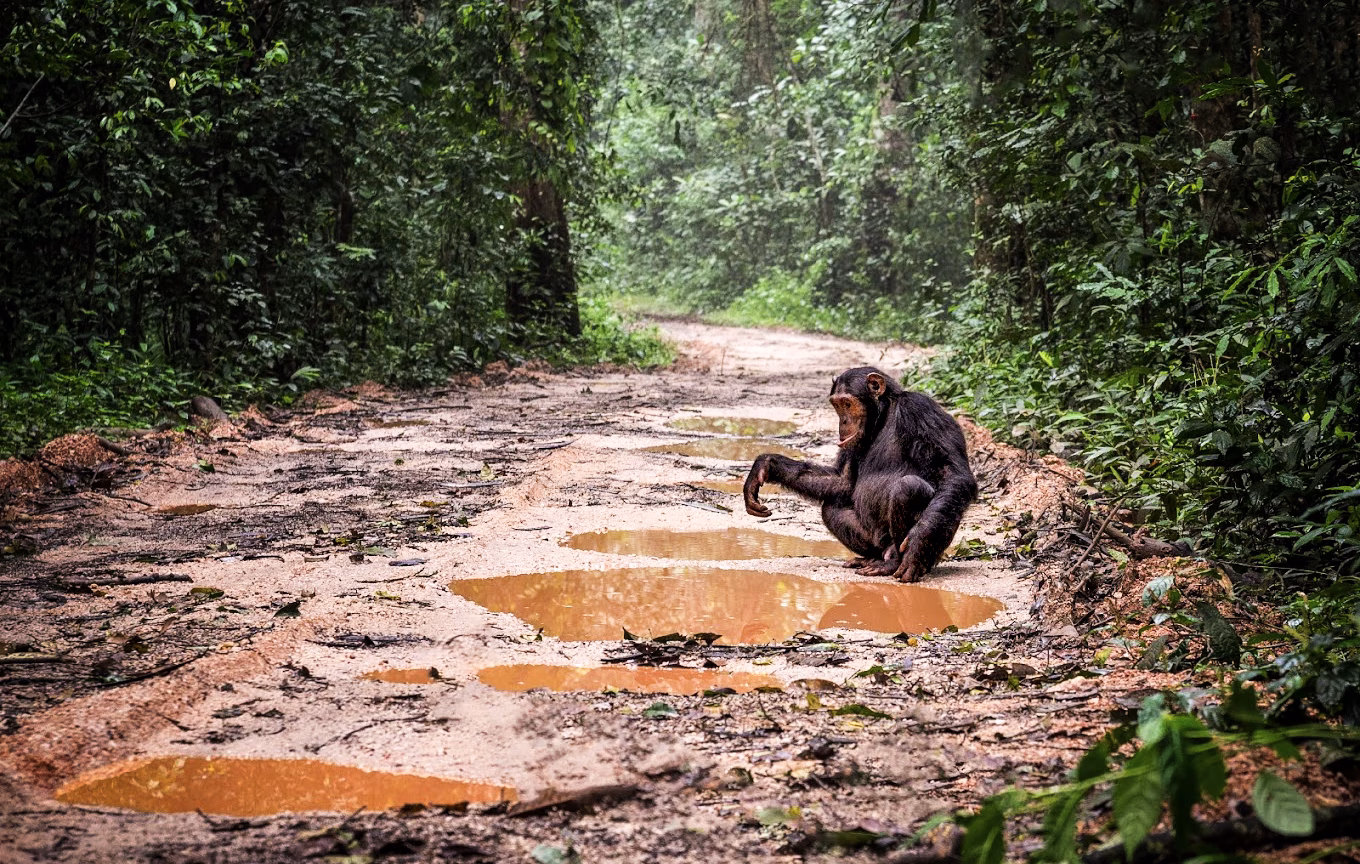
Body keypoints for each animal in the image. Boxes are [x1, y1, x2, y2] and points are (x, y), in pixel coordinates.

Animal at [743, 366, 977, 582]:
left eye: (847, 404)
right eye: (837, 405)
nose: (843, 422)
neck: (883, 416)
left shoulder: (920, 410)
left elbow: (953, 474)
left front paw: (918, 543)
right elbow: (843, 480)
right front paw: (767, 465)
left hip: (928, 553)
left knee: (909, 488)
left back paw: (894, 563)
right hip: (875, 541)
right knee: (831, 508)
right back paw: (870, 559)